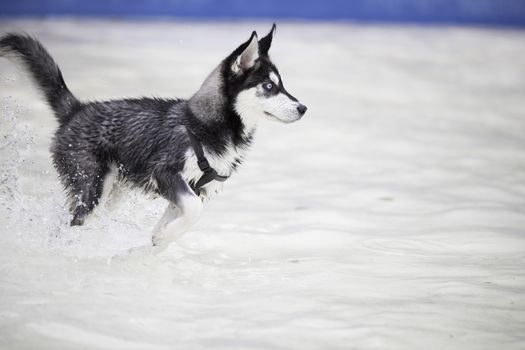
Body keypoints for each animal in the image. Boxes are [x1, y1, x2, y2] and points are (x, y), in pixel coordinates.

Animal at [0, 23, 304, 249]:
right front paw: (161, 237)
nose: (303, 108)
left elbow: (185, 216)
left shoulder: (196, 187)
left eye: (281, 85)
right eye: (268, 86)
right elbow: (194, 211)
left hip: (113, 192)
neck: (204, 126)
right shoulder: (166, 173)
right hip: (91, 187)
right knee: (76, 220)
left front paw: (158, 240)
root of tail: (77, 110)